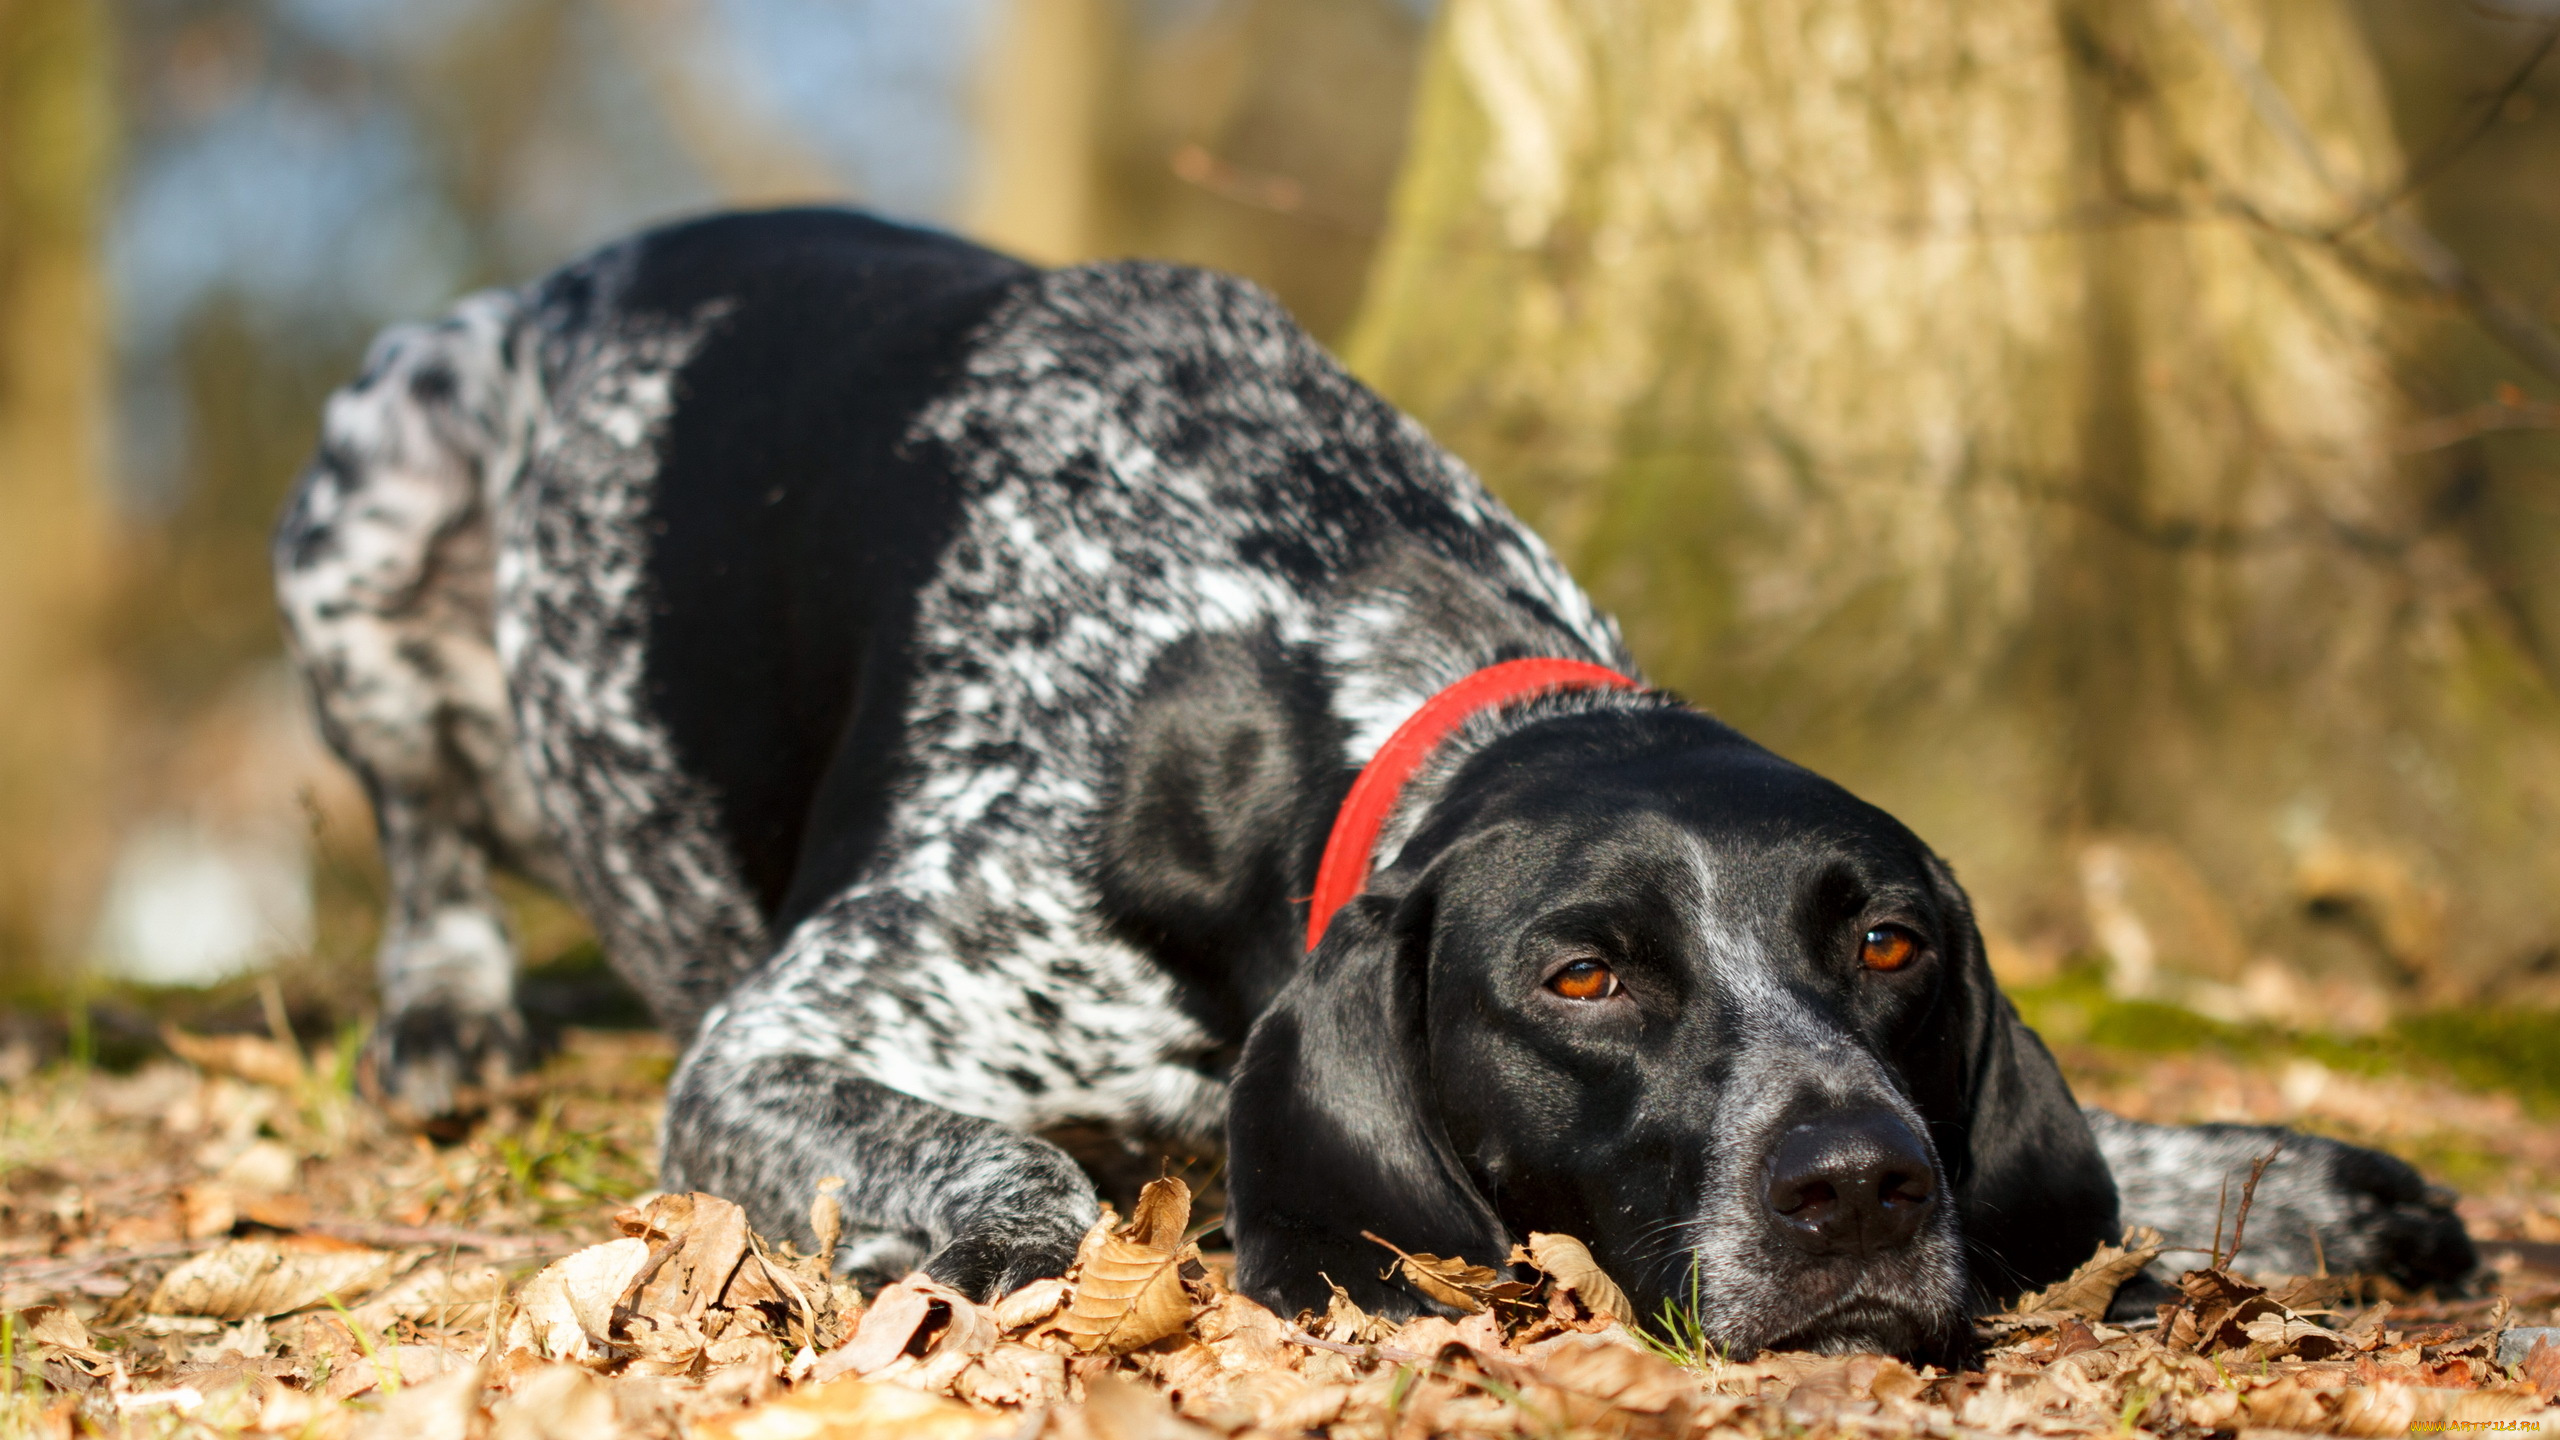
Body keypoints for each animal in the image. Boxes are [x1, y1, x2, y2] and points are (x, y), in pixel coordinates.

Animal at [280, 207, 2478, 1352]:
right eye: (1580, 979)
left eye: (1890, 947)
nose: (1855, 1187)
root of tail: (565, 277)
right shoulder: (773, 1047)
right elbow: (1021, 1185)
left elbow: (2087, 1148)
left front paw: (2280, 1178)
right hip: (374, 488)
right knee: (423, 840)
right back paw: (443, 1013)